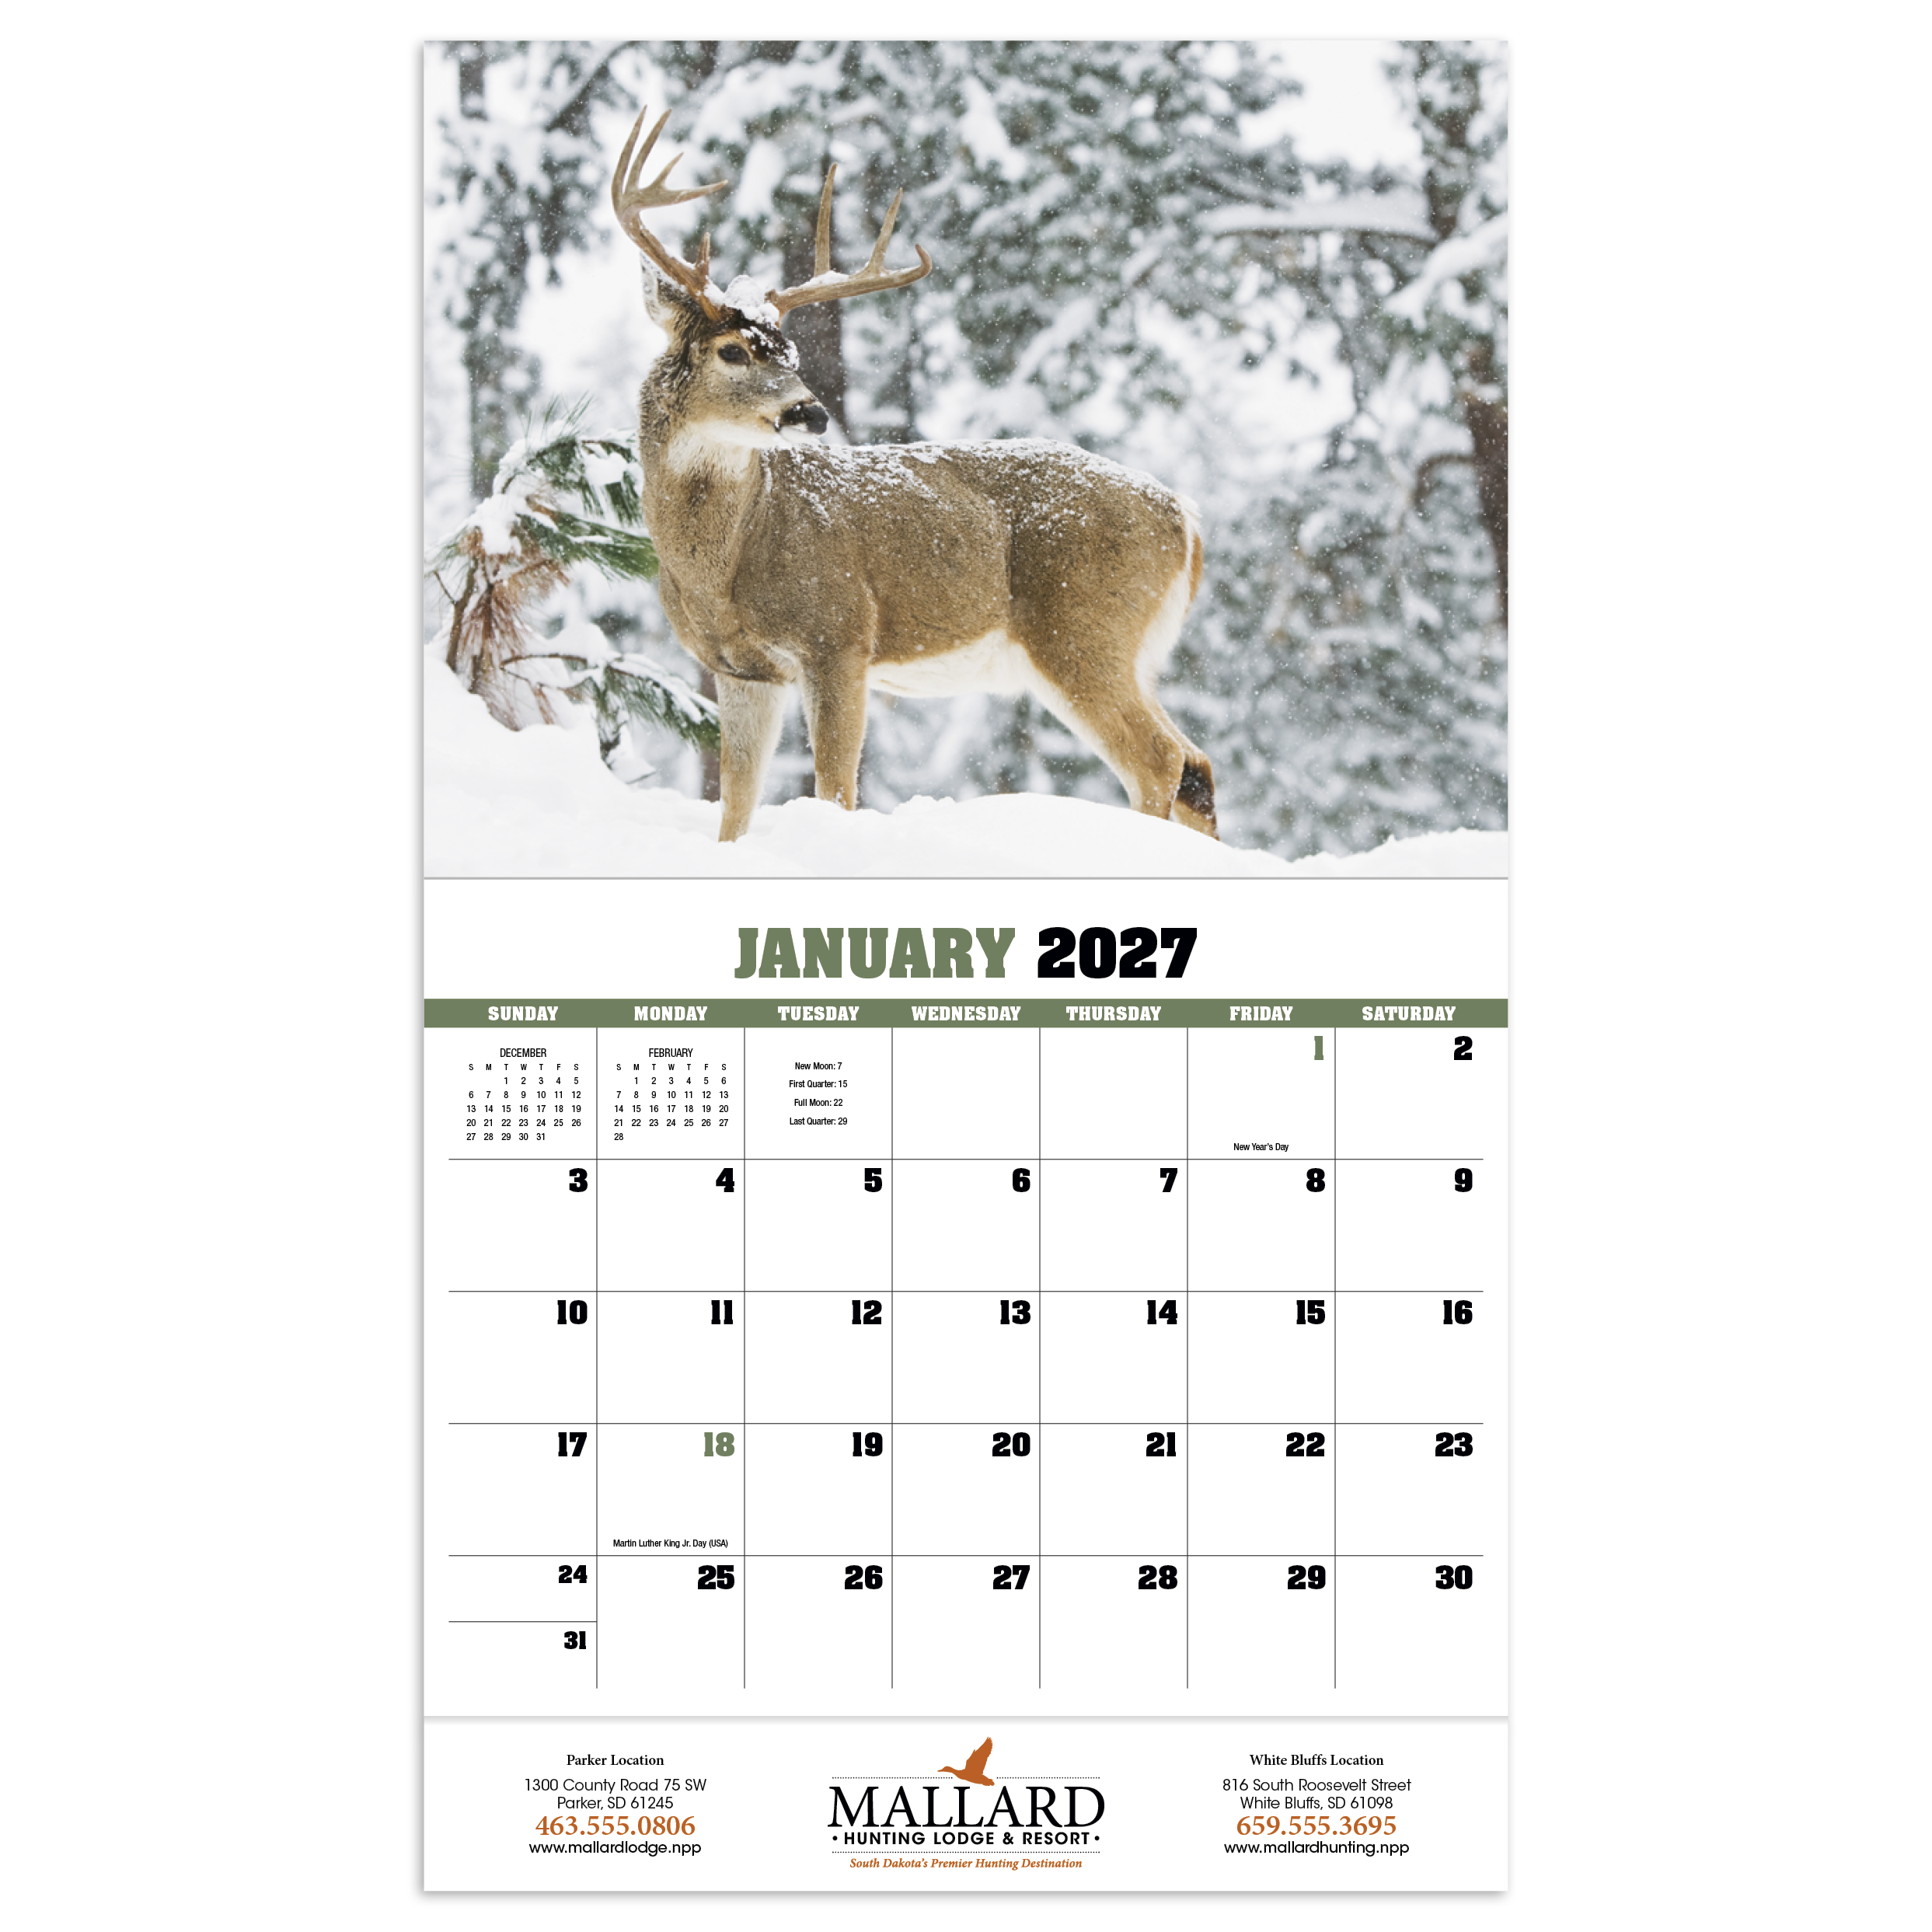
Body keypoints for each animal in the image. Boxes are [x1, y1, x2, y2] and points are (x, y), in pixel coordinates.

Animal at [611, 107, 1217, 843]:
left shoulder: (840, 636)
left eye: (790, 351)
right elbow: (735, 806)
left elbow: (836, 789)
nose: (811, 411)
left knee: (1160, 761)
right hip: (1126, 649)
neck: (721, 566)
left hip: (1083, 625)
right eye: (732, 351)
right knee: (1196, 765)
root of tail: (1184, 516)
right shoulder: (740, 668)